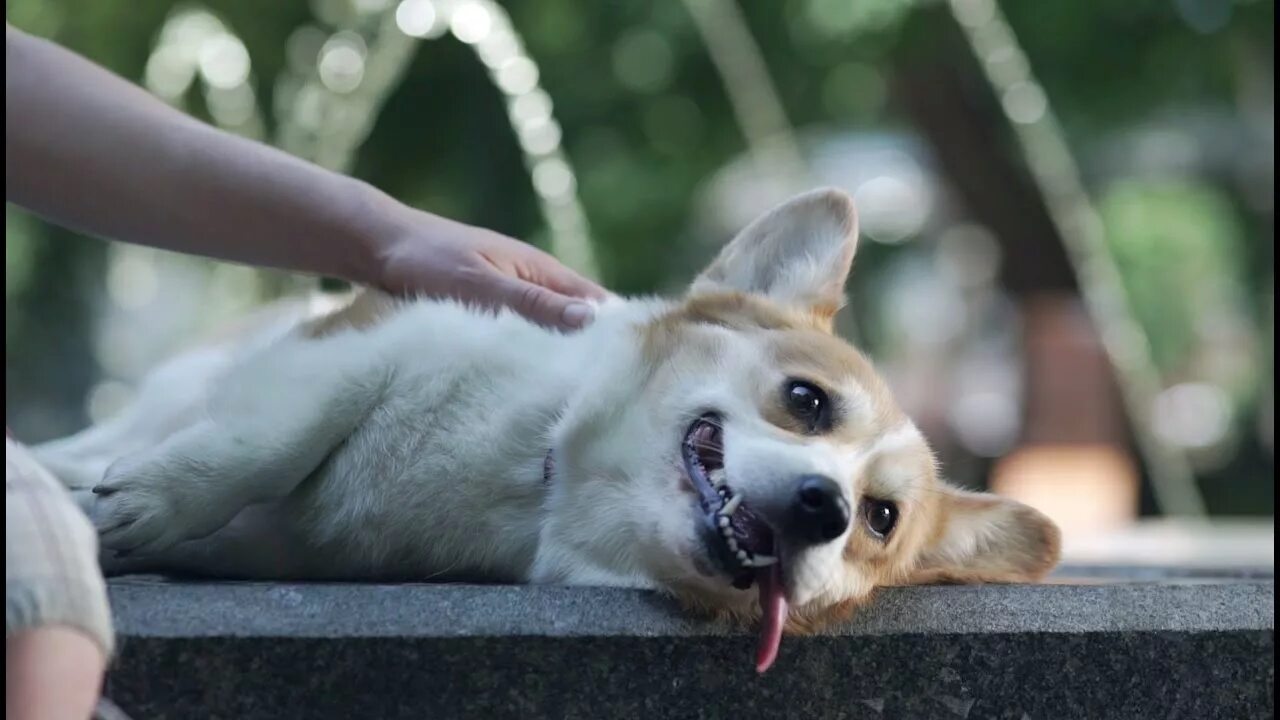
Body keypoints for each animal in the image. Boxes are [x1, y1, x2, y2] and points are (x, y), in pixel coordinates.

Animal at [37, 184, 1059, 666]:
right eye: (807, 401)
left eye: (879, 520)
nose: (825, 508)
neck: (543, 478)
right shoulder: (368, 346)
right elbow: (270, 440)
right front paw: (146, 506)